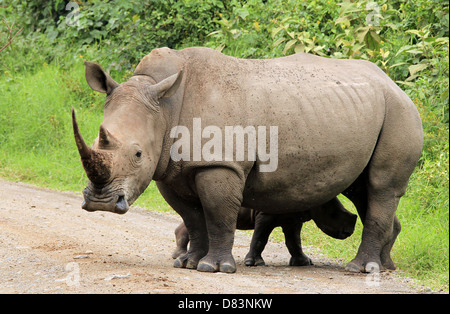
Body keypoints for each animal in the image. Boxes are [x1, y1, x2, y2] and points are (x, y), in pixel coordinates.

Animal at [73, 47, 422, 274]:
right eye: (97, 142)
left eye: (137, 154)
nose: (103, 203)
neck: (164, 106)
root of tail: (396, 85)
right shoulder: (170, 170)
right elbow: (193, 218)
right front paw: (188, 264)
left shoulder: (221, 163)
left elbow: (217, 215)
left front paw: (215, 268)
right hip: (359, 111)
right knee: (362, 189)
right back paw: (386, 267)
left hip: (399, 112)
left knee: (381, 186)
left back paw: (360, 269)